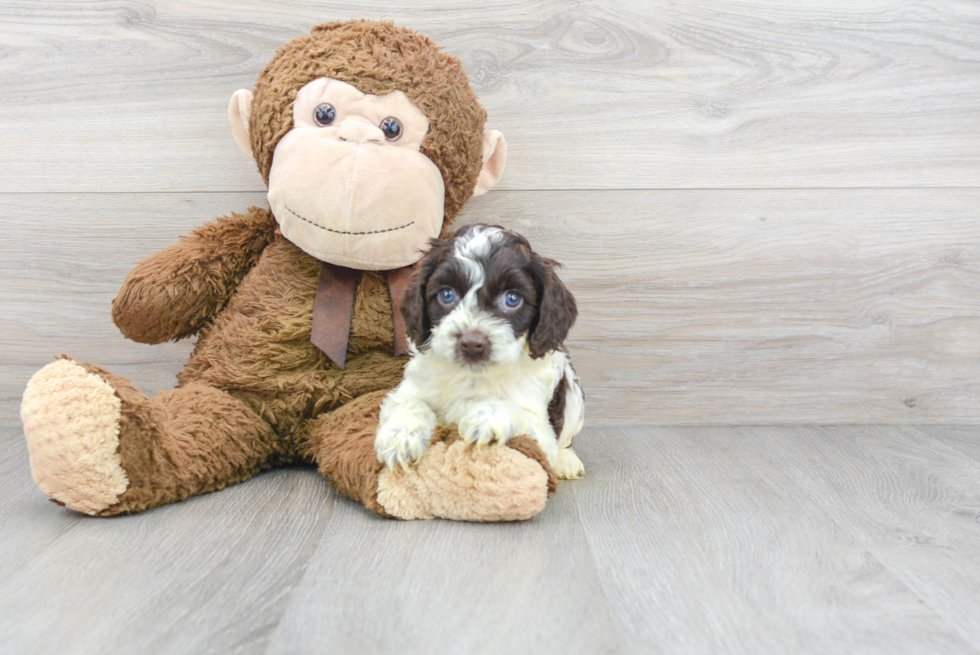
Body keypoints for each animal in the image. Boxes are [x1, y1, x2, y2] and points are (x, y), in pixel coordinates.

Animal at [376, 226, 584, 482]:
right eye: (446, 295)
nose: (472, 343)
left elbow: (517, 414)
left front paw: (487, 417)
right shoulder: (410, 389)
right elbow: (410, 403)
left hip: (574, 400)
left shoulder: (542, 433)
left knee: (566, 439)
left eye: (512, 299)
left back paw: (567, 461)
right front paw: (400, 437)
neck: (473, 376)